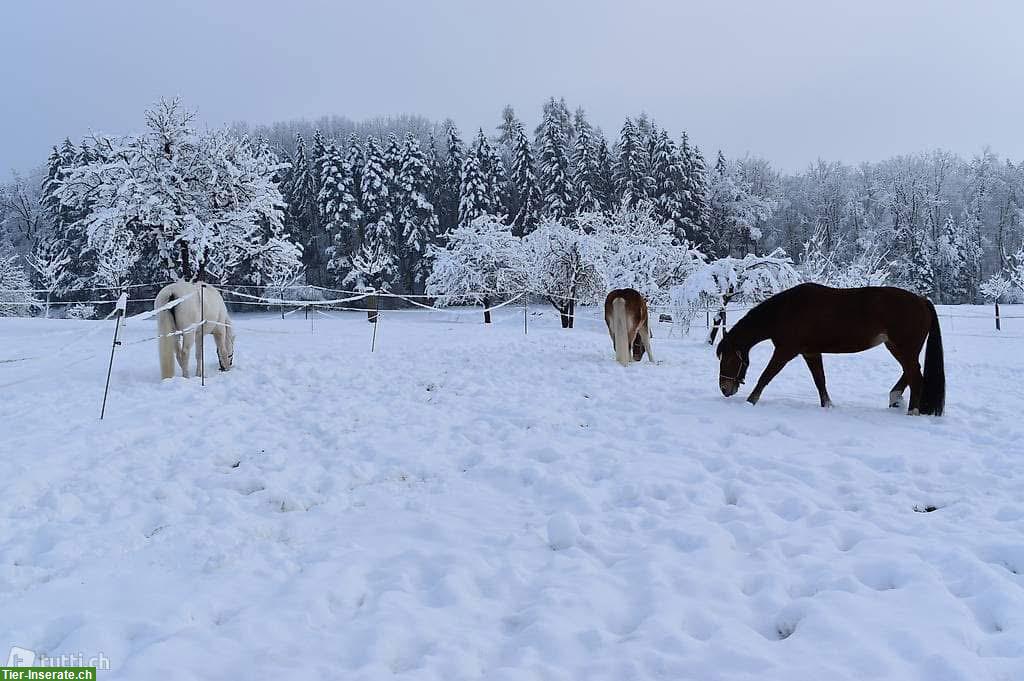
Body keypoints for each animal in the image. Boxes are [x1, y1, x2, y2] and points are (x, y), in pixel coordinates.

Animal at [712, 280, 942, 413]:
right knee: (911, 373)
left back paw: (911, 410)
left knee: (915, 376)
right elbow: (820, 381)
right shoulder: (811, 353)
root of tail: (922, 300)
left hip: (903, 348)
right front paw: (828, 406)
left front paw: (750, 402)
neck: (786, 311)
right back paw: (895, 399)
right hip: (897, 347)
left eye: (729, 358)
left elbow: (766, 376)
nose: (725, 389)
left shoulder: (785, 351)